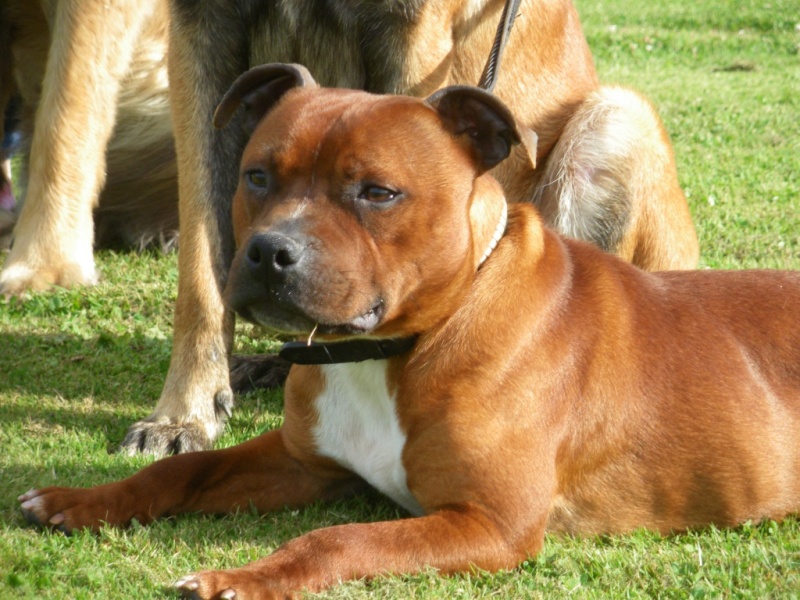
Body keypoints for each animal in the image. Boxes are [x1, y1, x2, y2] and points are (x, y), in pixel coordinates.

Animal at [20, 65, 800, 600]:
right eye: (258, 176)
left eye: (378, 192)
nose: (270, 252)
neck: (395, 349)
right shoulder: (301, 460)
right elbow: (184, 468)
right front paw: (83, 500)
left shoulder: (489, 523)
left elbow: (332, 542)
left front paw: (243, 576)